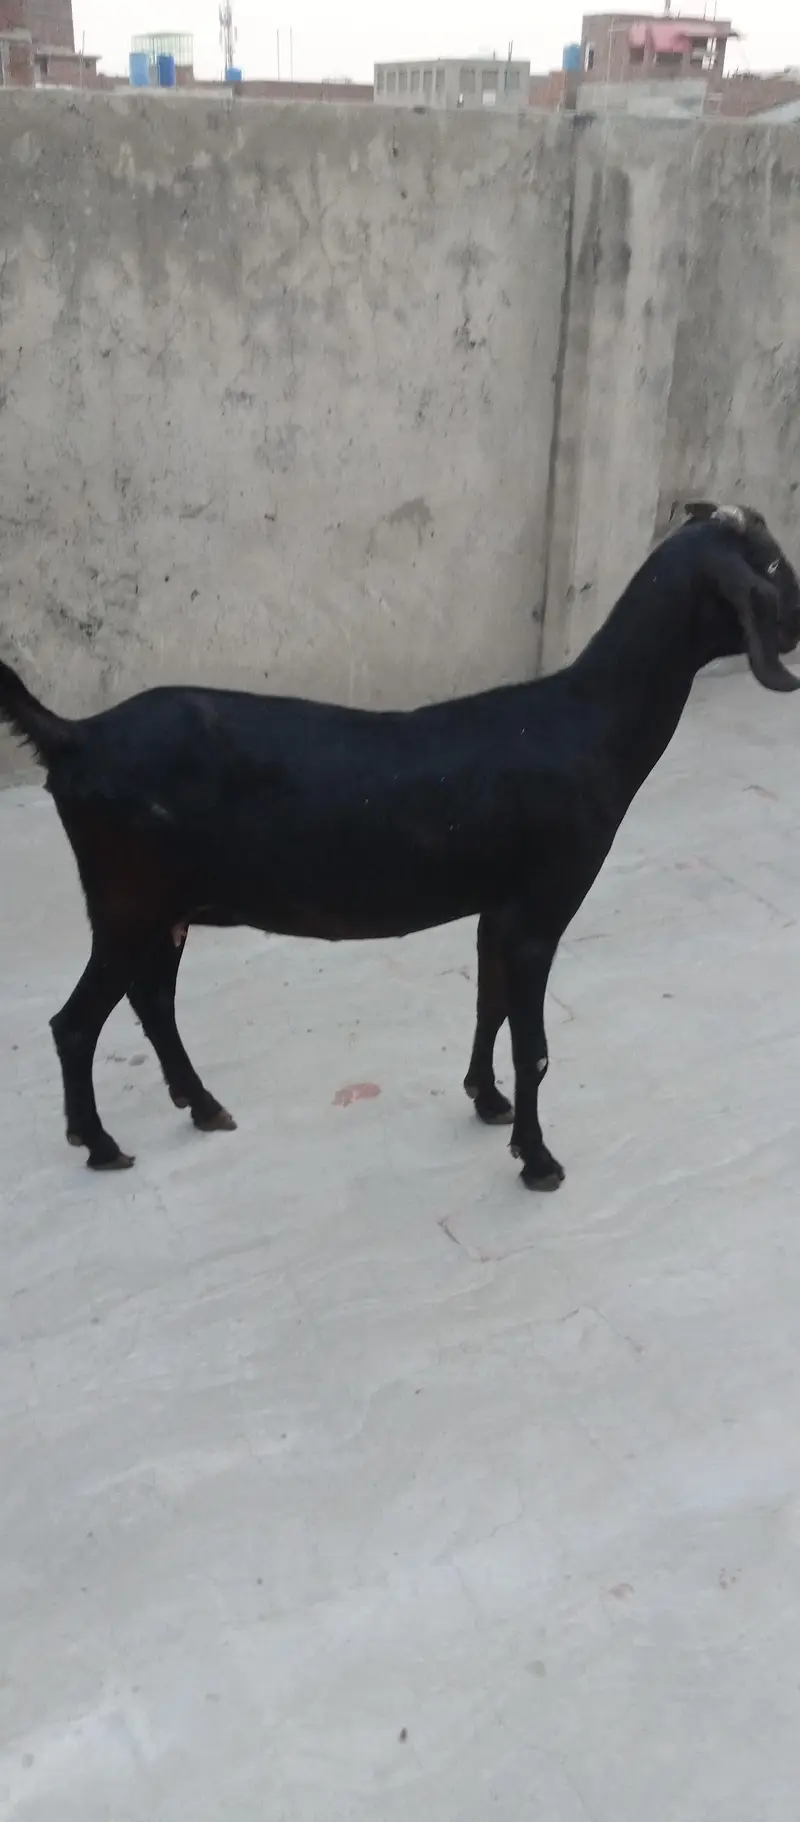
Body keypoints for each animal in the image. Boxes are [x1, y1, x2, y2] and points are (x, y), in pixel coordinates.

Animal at [1, 500, 798, 1188]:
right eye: (773, 564)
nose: (797, 626)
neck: (586, 723)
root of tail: (75, 737)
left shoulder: (498, 906)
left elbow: (489, 1003)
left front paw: (486, 1101)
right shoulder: (542, 904)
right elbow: (534, 1046)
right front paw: (537, 1159)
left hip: (163, 907)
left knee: (153, 1000)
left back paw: (201, 1105)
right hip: (129, 900)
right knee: (75, 1023)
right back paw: (100, 1143)